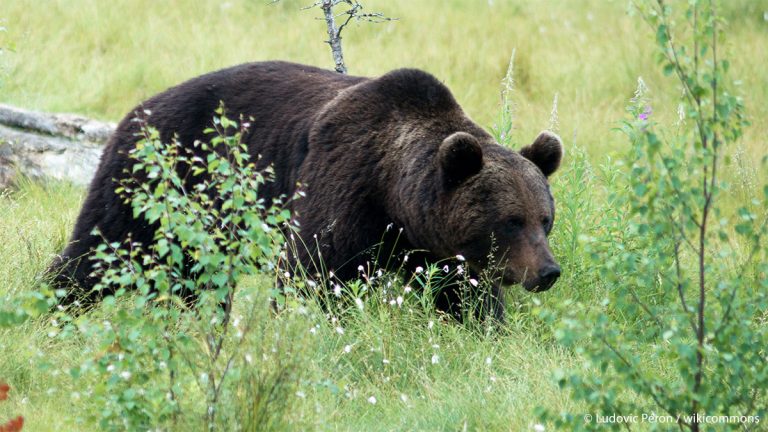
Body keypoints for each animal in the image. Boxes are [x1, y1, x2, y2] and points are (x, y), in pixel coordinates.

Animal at [49, 62, 564, 322]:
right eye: (510, 221)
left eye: (545, 219)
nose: (547, 271)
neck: (394, 197)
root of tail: (136, 110)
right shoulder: (343, 185)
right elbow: (313, 274)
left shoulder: (440, 249)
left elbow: (466, 298)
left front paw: (484, 330)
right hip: (159, 181)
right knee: (99, 250)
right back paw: (55, 308)